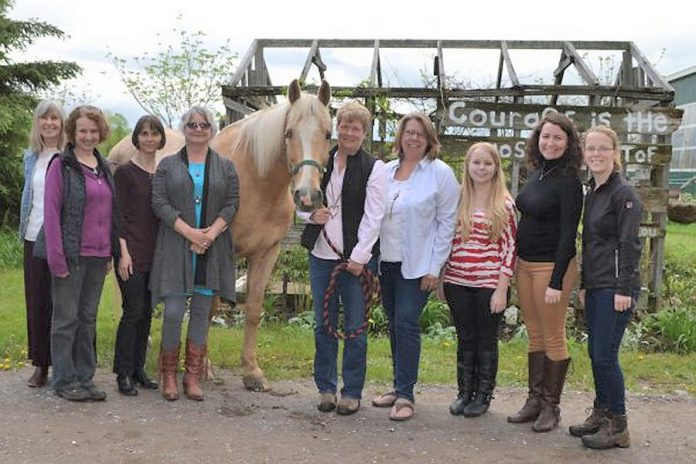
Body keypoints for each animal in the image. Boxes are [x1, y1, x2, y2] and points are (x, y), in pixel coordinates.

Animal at [109, 80, 332, 392]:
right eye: (288, 133)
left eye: (328, 134)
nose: (307, 197)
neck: (256, 181)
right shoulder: (219, 252)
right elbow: (210, 308)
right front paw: (204, 367)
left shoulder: (267, 253)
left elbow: (252, 310)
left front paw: (252, 372)